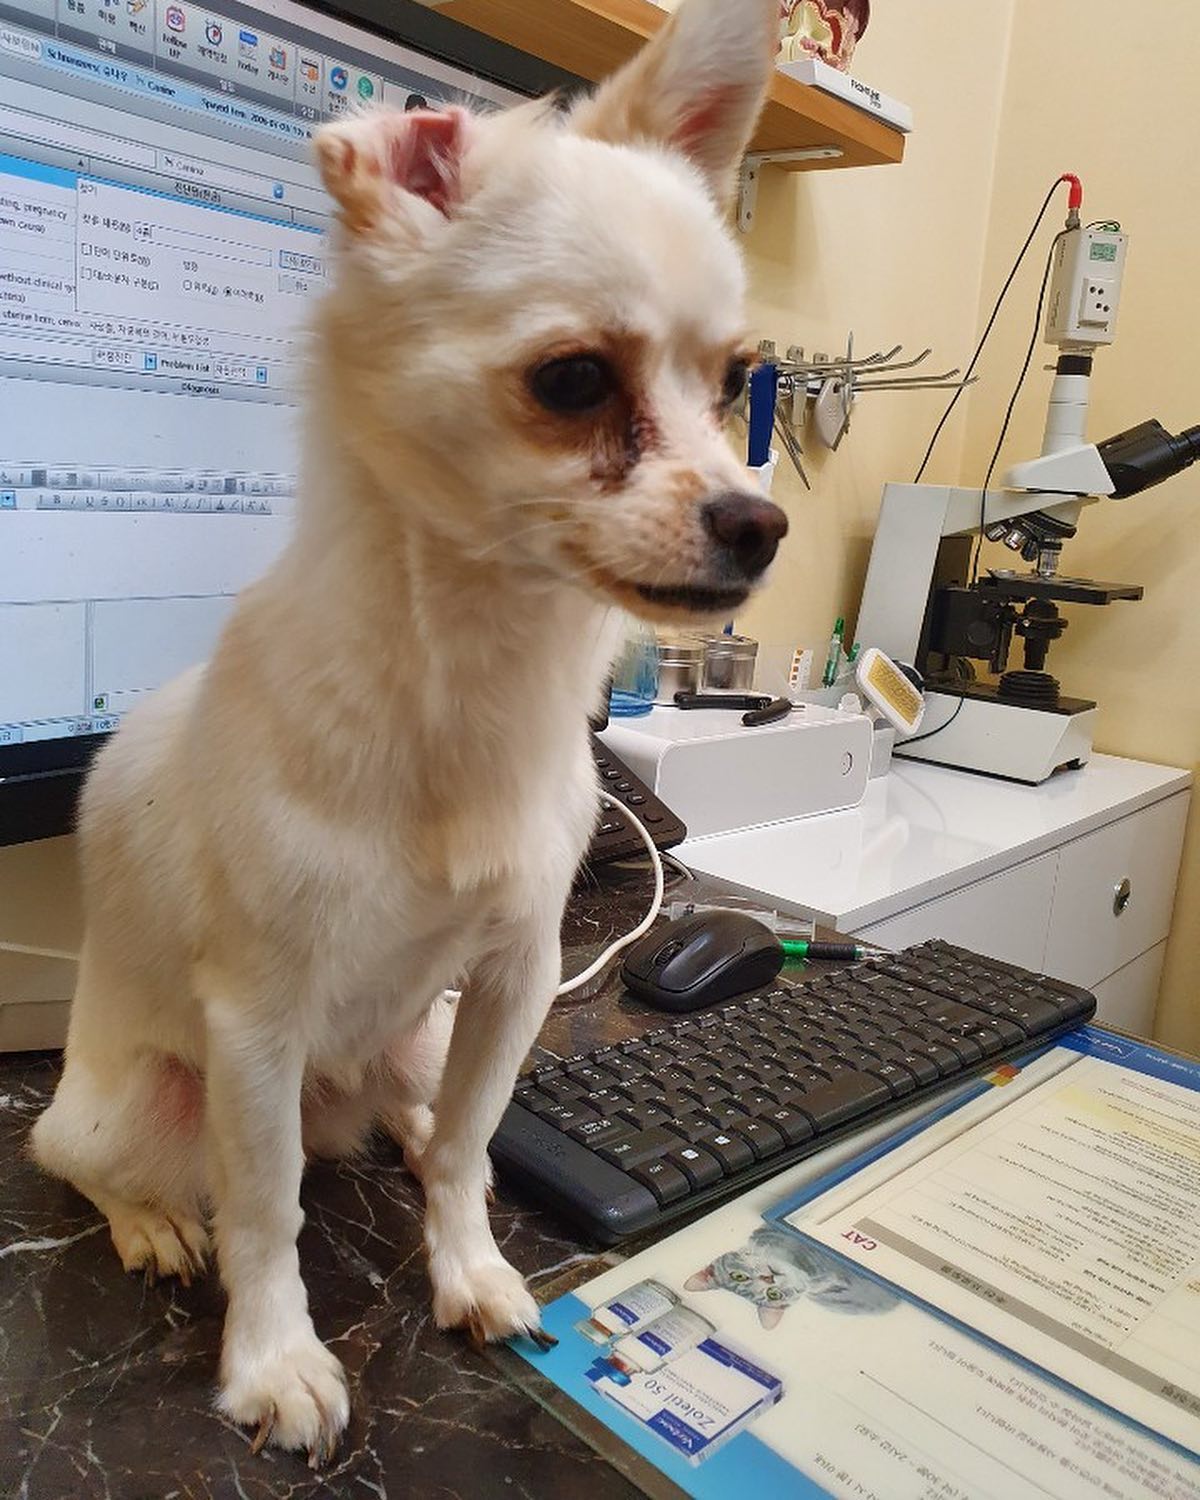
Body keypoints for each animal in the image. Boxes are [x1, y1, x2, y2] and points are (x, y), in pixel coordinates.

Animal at [31, 0, 787, 1460]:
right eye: (573, 380)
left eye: (737, 383)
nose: (762, 521)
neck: (473, 679)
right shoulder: (256, 1025)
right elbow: (265, 1211)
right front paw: (274, 1362)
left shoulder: (511, 978)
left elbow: (472, 1156)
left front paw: (469, 1270)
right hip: (140, 1102)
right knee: (107, 1167)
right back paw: (153, 1224)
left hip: (417, 1035)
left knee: (424, 1126)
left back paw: (402, 1132)